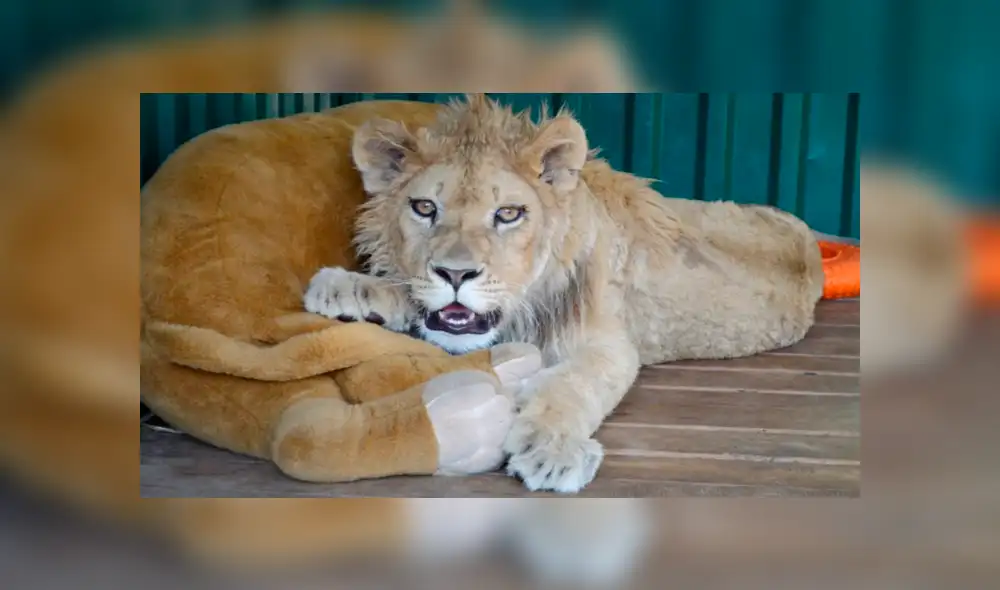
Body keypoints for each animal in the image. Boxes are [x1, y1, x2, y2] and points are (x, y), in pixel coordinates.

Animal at [303, 94, 826, 493]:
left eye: (508, 214)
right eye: (425, 207)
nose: (456, 273)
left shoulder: (610, 344)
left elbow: (572, 384)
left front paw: (551, 450)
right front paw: (346, 288)